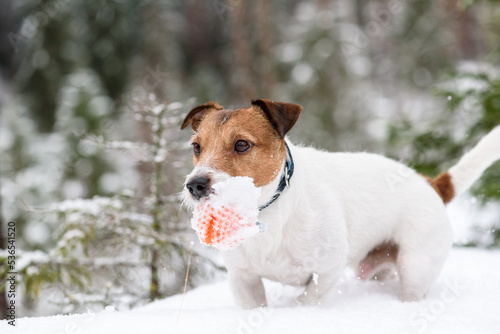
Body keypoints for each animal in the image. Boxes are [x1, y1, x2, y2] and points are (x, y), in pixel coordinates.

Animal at [180, 98, 500, 308]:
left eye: (241, 145)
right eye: (196, 147)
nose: (195, 185)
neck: (269, 214)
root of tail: (431, 183)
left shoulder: (327, 270)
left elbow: (307, 300)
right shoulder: (243, 280)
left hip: (416, 266)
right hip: (378, 268)